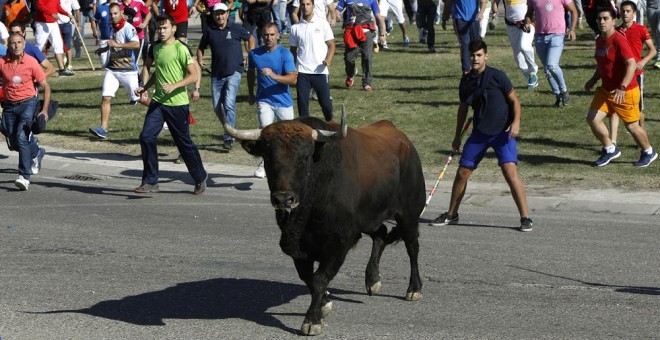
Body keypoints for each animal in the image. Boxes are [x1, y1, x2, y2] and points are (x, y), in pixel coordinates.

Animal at [222, 107, 426, 336]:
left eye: (305, 157)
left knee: (412, 247)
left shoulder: (339, 244)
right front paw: (325, 303)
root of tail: (401, 137)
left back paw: (414, 288)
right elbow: (308, 277)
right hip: (370, 217)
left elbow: (319, 279)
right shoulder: (297, 247)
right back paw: (373, 280)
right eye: (267, 156)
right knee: (381, 235)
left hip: (409, 214)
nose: (283, 199)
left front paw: (312, 320)